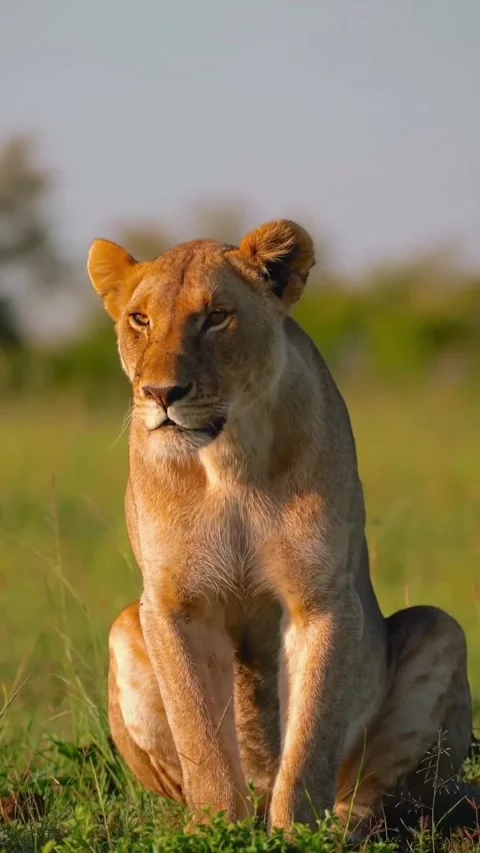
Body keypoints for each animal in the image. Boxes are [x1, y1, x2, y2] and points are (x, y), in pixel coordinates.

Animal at [87, 219, 477, 836]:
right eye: (140, 319)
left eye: (216, 316)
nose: (160, 394)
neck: (229, 461)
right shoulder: (173, 603)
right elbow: (199, 731)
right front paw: (214, 829)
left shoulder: (321, 599)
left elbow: (312, 731)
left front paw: (295, 832)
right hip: (125, 627)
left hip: (441, 630)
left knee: (372, 795)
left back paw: (343, 829)